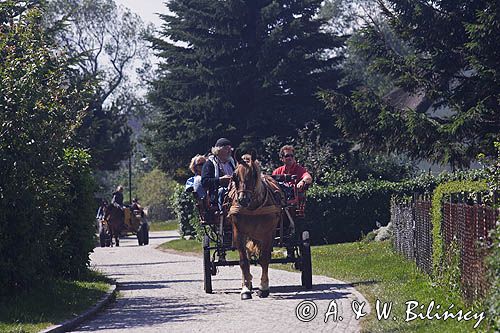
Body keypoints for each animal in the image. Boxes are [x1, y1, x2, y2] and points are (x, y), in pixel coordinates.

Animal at [228, 152, 284, 300]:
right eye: (235, 176)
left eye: (253, 175)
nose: (243, 199)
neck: (253, 207)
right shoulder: (239, 233)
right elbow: (243, 261)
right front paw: (245, 289)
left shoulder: (268, 234)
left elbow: (264, 259)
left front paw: (263, 288)